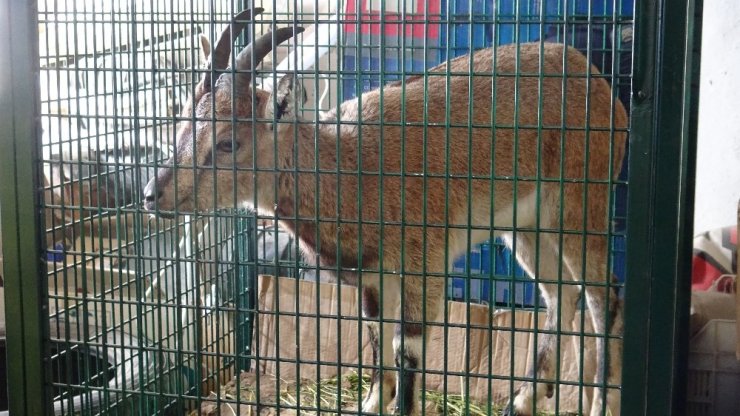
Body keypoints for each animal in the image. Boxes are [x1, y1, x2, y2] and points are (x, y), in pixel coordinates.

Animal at [145, 8, 632, 416]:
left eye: (228, 141)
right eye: (181, 123)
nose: (153, 194)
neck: (349, 171)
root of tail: (599, 85)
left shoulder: (425, 264)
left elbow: (407, 350)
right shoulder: (375, 282)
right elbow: (377, 340)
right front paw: (370, 403)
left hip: (578, 205)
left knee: (602, 294)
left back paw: (599, 404)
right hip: (525, 226)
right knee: (560, 294)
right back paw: (525, 398)